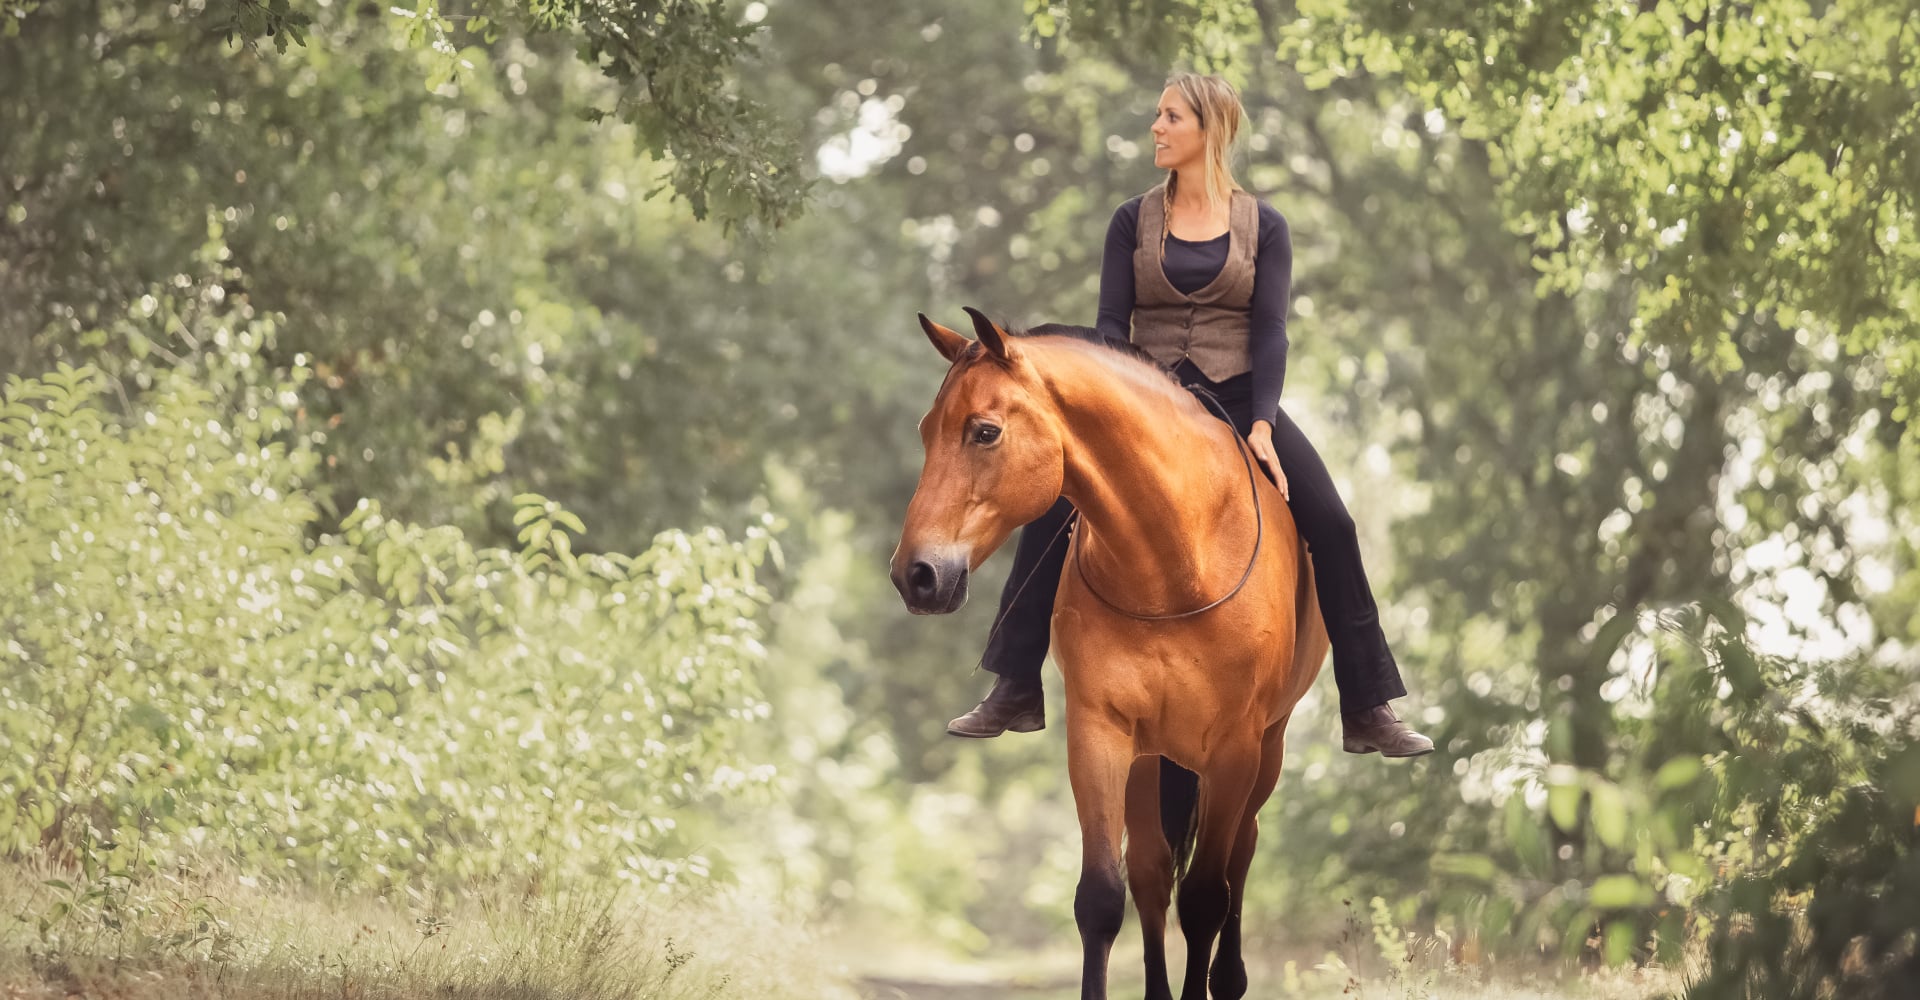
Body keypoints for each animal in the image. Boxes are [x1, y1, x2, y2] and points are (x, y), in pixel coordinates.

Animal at [889, 307, 1330, 999]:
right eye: (926, 431)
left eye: (985, 432)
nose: (915, 576)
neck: (1175, 563)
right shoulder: (1100, 732)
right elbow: (1101, 897)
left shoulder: (1234, 749)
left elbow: (1205, 897)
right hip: (1151, 758)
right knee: (1150, 871)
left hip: (1269, 747)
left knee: (1240, 853)